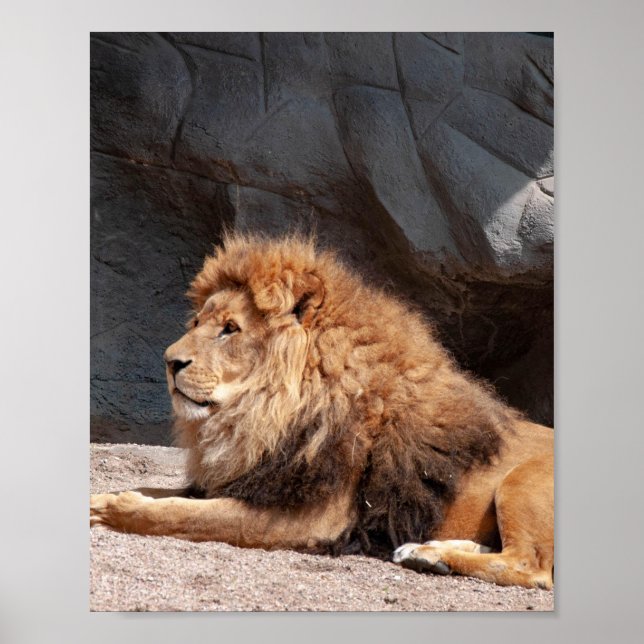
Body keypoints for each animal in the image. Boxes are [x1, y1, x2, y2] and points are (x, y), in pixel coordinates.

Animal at [90, 234, 554, 589]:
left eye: (230, 329)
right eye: (196, 323)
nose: (169, 362)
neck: (262, 414)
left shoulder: (312, 518)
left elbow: (180, 514)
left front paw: (111, 509)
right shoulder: (256, 480)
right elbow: (162, 492)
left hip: (520, 482)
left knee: (529, 566)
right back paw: (425, 552)